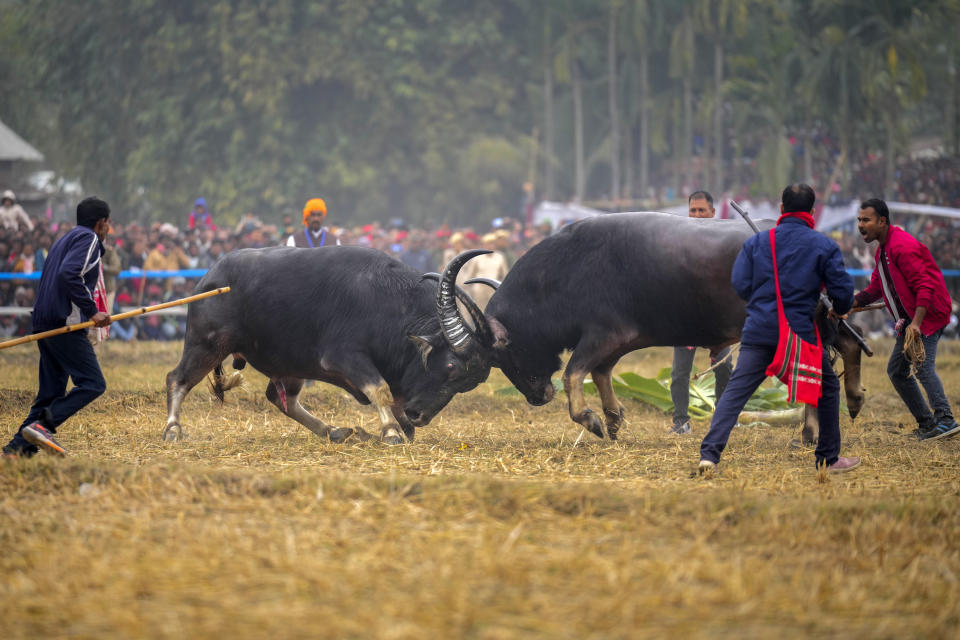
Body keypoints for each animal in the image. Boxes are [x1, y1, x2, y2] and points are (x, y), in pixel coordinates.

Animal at [164, 246, 492, 444]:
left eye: (466, 384)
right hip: (206, 343)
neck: (391, 306)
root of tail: (209, 278)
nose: (419, 416)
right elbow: (379, 388)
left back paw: (334, 431)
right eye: (450, 366)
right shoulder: (342, 358)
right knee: (177, 379)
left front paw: (399, 427)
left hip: (290, 366)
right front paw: (391, 432)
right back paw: (173, 429)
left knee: (282, 399)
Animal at [472, 214, 872, 440]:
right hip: (820, 319)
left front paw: (592, 420)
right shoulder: (616, 342)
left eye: (504, 353)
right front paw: (613, 420)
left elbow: (574, 373)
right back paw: (851, 402)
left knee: (818, 366)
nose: (537, 397)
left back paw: (812, 430)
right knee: (849, 344)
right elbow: (601, 374)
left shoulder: (604, 335)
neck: (565, 270)